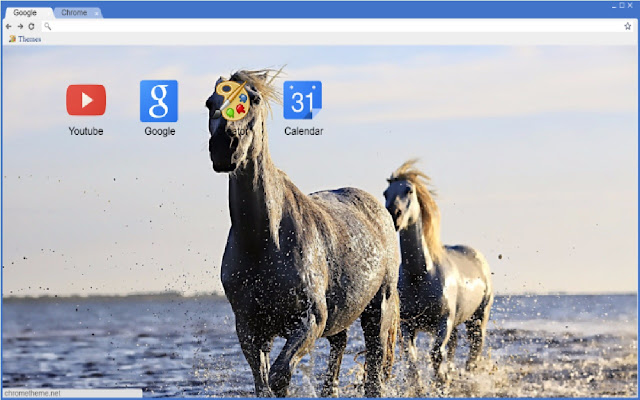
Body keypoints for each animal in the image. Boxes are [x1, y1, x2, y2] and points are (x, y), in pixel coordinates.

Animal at [206, 69, 400, 398]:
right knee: (339, 350)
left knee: (374, 370)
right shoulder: (250, 329)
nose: (224, 146)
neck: (264, 241)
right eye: (210, 103)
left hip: (378, 309)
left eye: (253, 99)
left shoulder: (309, 320)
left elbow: (279, 377)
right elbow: (264, 384)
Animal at [383, 159, 493, 393]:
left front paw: (441, 381)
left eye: (409, 190)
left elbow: (435, 355)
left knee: (474, 349)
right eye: (386, 192)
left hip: (478, 318)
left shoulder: (443, 322)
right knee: (454, 345)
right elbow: (412, 358)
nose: (394, 214)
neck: (421, 275)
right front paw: (419, 387)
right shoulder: (408, 325)